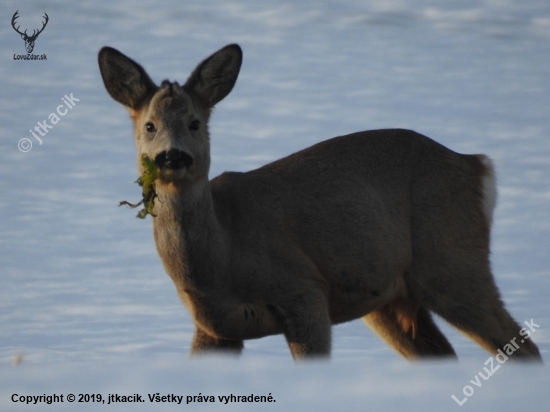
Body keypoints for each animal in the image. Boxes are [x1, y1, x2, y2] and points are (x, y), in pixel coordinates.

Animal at [98, 44, 544, 360]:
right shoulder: (213, 327)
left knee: (523, 345)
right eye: (149, 126)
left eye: (194, 123)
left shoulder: (304, 291)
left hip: (452, 260)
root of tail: (476, 166)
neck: (223, 258)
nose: (171, 156)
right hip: (388, 296)